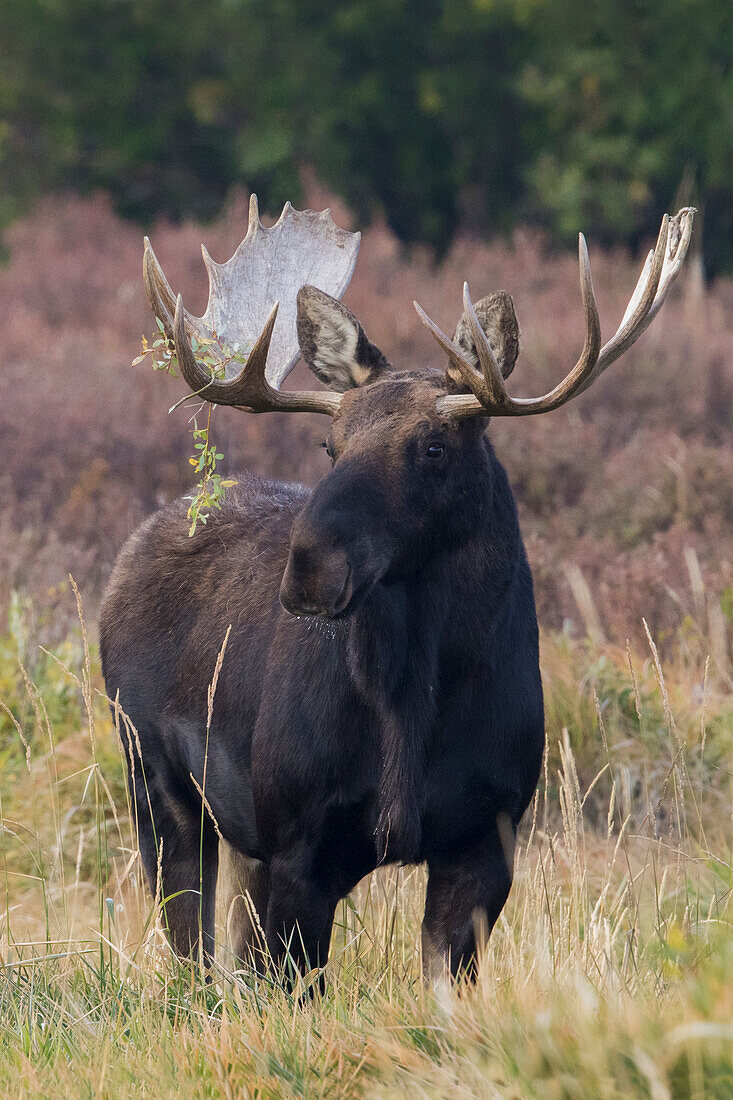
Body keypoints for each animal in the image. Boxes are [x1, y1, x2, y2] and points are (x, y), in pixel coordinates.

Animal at [98, 198, 691, 981]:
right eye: (330, 445)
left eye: (433, 447)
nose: (309, 567)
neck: (412, 714)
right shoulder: (300, 841)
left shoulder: (487, 837)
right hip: (154, 778)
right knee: (192, 951)